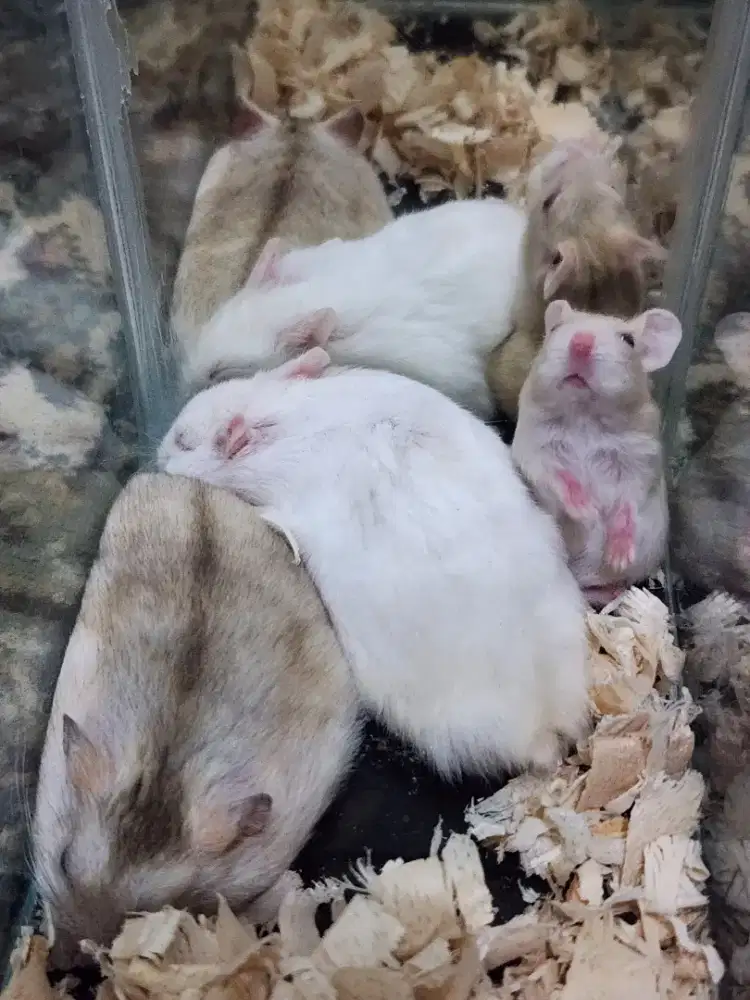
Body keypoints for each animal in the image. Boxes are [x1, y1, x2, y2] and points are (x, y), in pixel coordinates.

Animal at [512, 299, 682, 607]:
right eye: (556, 328)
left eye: (629, 340)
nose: (580, 343)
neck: (584, 416)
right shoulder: (536, 452)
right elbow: (562, 479)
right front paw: (587, 510)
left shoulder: (640, 461)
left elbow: (628, 504)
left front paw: (619, 556)